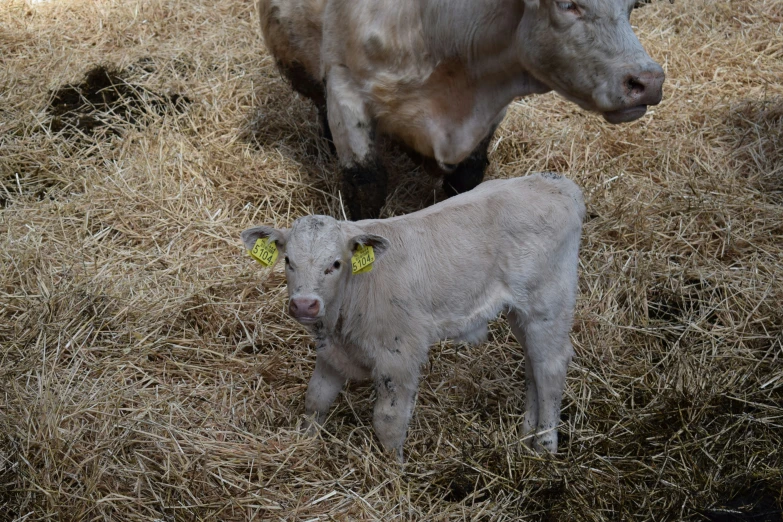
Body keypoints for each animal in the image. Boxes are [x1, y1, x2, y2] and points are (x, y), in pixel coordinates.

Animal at [242, 173, 584, 458]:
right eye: (288, 260)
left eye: (335, 264)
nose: (304, 304)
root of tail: (558, 183)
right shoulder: (332, 352)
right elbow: (315, 399)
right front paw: (305, 441)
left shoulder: (399, 353)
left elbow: (388, 420)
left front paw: (394, 470)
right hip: (520, 311)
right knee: (533, 365)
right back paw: (526, 434)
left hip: (548, 304)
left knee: (550, 366)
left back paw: (545, 445)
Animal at [260, 0, 664, 217]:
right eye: (568, 4)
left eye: (630, 7)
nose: (649, 80)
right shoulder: (345, 89)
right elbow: (365, 186)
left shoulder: (488, 114)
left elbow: (466, 180)